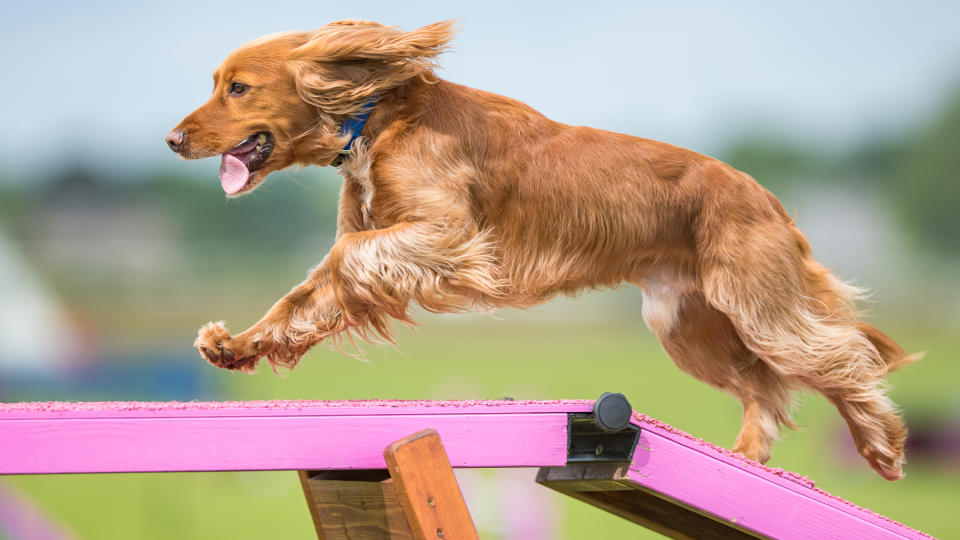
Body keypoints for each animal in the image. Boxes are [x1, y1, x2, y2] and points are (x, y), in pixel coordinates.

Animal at [167, 20, 924, 480]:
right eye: (218, 84)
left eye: (238, 88)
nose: (172, 140)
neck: (378, 118)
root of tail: (765, 195)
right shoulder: (395, 239)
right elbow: (306, 293)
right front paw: (237, 345)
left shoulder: (448, 237)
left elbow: (340, 261)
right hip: (687, 323)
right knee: (765, 386)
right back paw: (746, 459)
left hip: (756, 305)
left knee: (842, 358)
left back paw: (880, 444)